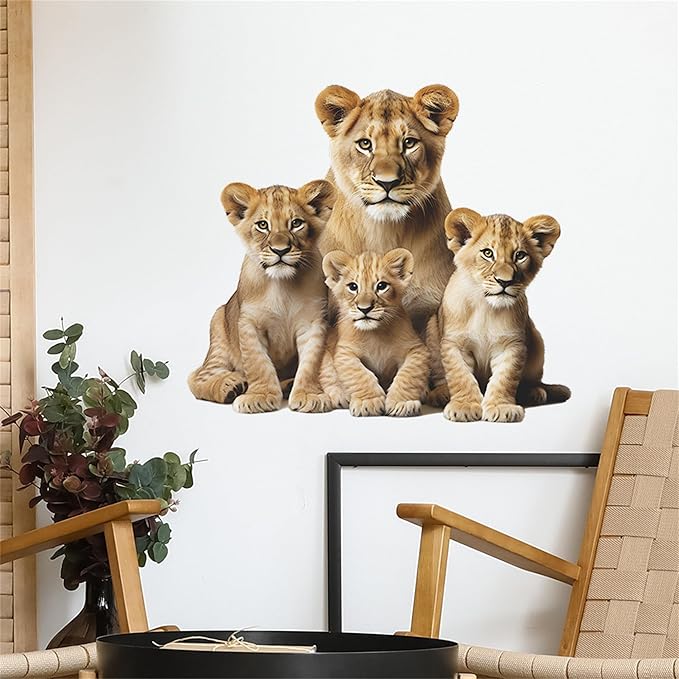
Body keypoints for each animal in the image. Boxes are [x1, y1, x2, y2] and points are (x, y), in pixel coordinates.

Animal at [188, 181, 336, 413]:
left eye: (296, 223)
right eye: (263, 225)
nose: (280, 250)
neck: (282, 285)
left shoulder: (313, 322)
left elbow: (310, 363)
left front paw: (308, 395)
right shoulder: (250, 323)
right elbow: (258, 362)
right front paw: (260, 396)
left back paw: (287, 385)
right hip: (218, 326)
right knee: (198, 377)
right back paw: (230, 386)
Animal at [319, 248, 430, 417]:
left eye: (382, 286)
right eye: (353, 287)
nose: (364, 308)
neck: (374, 333)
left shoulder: (416, 348)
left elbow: (408, 375)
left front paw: (402, 403)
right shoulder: (345, 352)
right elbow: (360, 375)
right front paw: (368, 402)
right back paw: (342, 395)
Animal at [428, 208, 571, 423]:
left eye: (520, 255)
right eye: (488, 253)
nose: (505, 281)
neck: (485, 307)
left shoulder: (512, 345)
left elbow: (505, 379)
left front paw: (501, 407)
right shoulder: (454, 344)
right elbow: (461, 376)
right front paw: (464, 406)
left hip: (536, 339)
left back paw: (534, 392)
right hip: (431, 328)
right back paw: (441, 393)